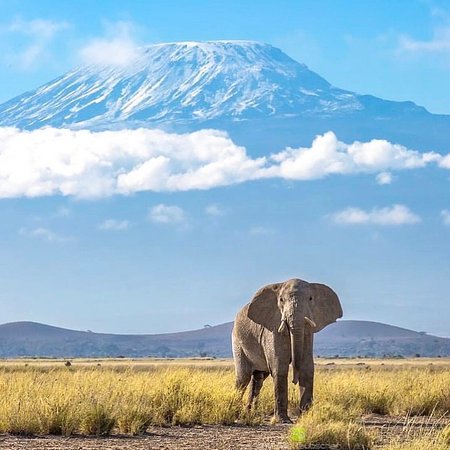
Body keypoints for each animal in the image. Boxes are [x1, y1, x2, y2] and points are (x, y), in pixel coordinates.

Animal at [232, 278, 342, 422]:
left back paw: (249, 414)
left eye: (310, 298)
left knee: (258, 379)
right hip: (237, 341)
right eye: (281, 300)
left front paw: (305, 417)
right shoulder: (272, 329)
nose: (294, 381)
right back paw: (236, 413)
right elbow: (279, 366)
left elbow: (307, 367)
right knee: (243, 378)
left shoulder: (308, 330)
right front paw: (283, 420)